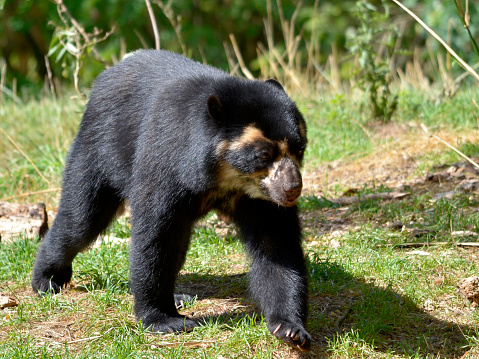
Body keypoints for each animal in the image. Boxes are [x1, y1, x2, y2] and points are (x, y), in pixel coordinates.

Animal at [32, 50, 312, 352]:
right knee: (81, 218)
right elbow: (156, 237)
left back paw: (179, 295)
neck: (224, 179)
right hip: (99, 148)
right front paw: (165, 320)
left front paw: (290, 329)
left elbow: (276, 245)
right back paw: (47, 280)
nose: (292, 188)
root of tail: (110, 72)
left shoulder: (260, 198)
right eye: (262, 155)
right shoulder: (167, 160)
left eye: (299, 148)